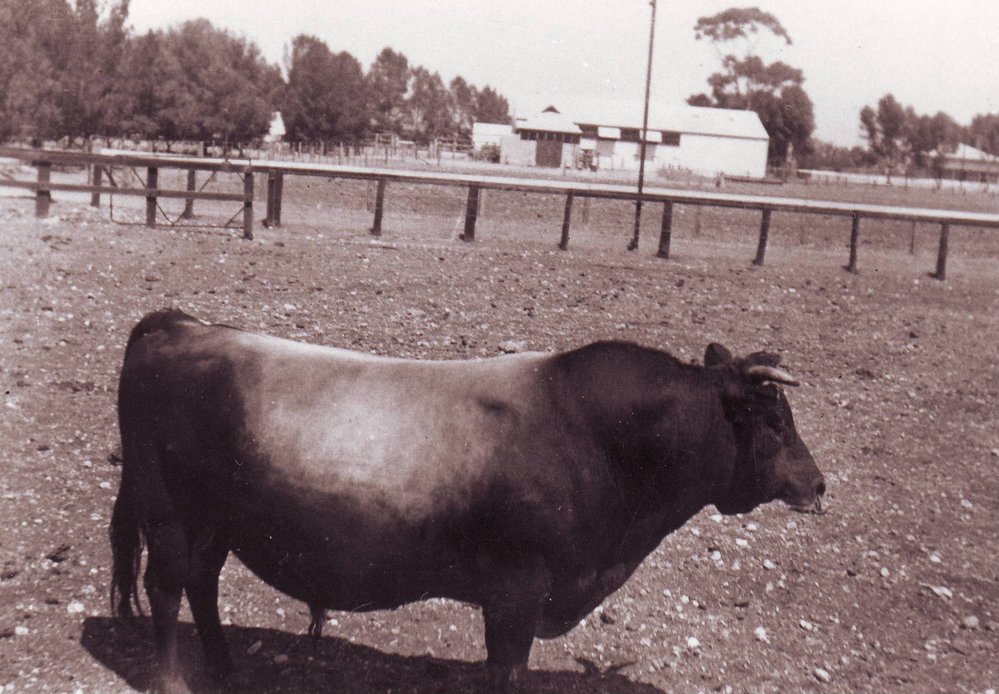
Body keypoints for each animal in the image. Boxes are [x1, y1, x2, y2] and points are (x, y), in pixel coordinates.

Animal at [110, 309, 825, 693]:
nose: (818, 485)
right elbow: (506, 671)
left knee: (203, 584)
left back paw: (227, 670)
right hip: (170, 515)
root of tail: (183, 327)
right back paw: (174, 679)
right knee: (167, 588)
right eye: (775, 421)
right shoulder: (515, 593)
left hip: (215, 524)